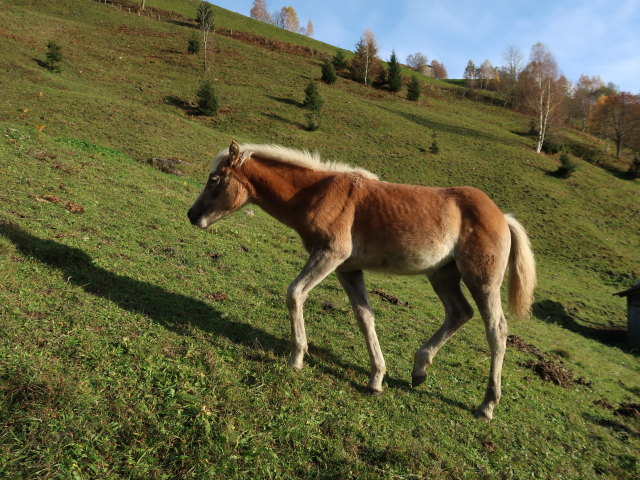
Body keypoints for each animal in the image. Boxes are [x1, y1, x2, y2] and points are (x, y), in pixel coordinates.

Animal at [189, 140, 536, 420]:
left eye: (214, 179)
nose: (193, 215)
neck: (317, 193)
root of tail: (502, 217)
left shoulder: (330, 254)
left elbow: (295, 293)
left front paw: (297, 356)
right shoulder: (348, 269)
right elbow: (364, 317)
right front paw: (377, 378)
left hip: (482, 280)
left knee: (497, 330)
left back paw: (487, 405)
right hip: (443, 275)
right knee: (459, 313)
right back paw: (420, 368)